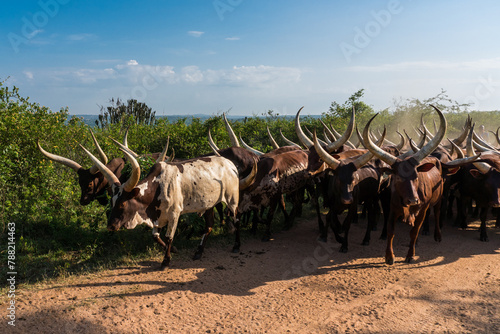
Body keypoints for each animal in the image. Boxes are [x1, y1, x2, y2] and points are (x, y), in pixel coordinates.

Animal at [80, 141, 256, 268]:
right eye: (112, 202)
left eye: (122, 204)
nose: (110, 226)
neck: (158, 186)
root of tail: (230, 164)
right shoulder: (157, 216)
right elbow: (156, 236)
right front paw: (172, 251)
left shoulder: (174, 214)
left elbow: (169, 237)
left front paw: (166, 261)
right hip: (208, 205)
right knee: (209, 226)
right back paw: (199, 251)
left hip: (232, 199)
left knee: (236, 219)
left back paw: (236, 245)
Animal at [364, 105, 480, 264]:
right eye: (398, 177)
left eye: (416, 176)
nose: (413, 200)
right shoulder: (393, 208)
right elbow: (390, 231)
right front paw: (389, 257)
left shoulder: (423, 208)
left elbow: (414, 231)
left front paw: (410, 255)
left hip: (438, 199)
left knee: (436, 214)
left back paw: (437, 235)